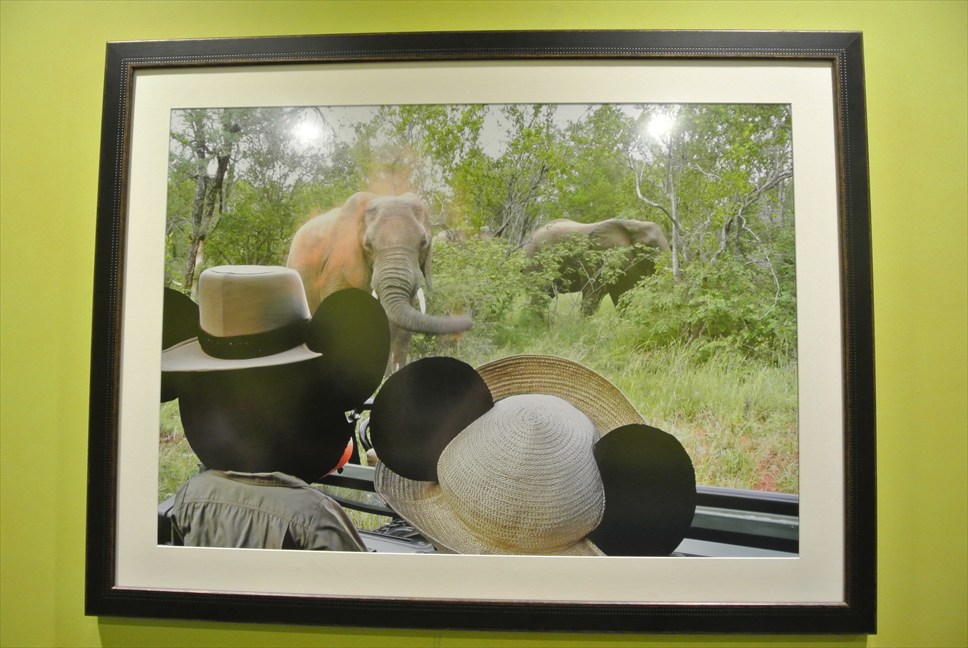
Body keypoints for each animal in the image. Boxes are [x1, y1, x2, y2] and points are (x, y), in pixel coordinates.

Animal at [522, 218, 669, 315]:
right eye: (649, 246)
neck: (632, 224)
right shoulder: (596, 257)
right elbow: (591, 293)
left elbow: (622, 295)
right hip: (537, 261)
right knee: (540, 294)